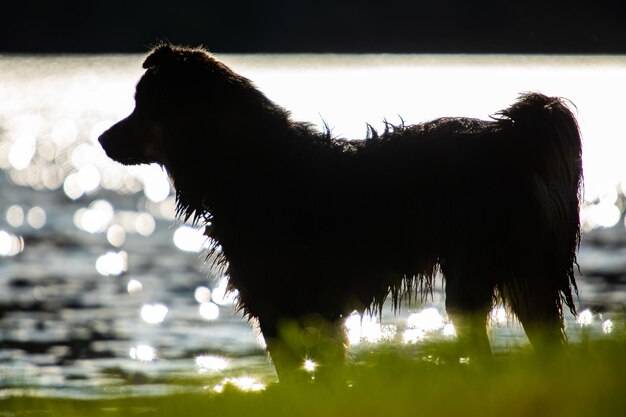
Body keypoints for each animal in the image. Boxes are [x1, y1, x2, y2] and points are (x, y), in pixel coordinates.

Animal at [97, 44, 580, 378]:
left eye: (142, 106)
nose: (101, 139)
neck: (245, 164)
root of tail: (513, 138)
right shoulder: (310, 315)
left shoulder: (281, 309)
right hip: (527, 283)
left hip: (474, 277)